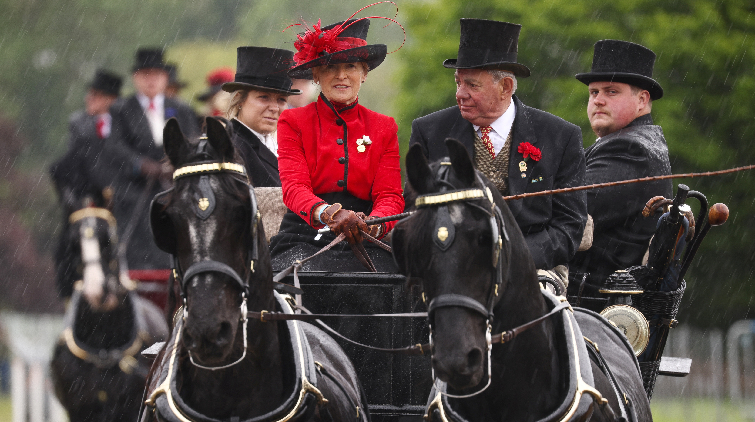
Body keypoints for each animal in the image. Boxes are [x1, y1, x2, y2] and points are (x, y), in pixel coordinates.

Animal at [51, 199, 171, 422]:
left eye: (108, 239)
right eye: (73, 243)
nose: (95, 290)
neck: (103, 348)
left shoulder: (129, 405)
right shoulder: (79, 409)